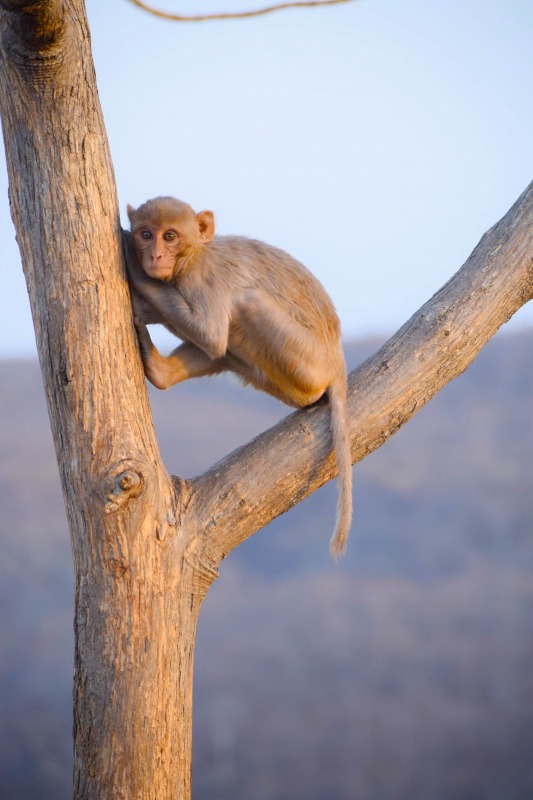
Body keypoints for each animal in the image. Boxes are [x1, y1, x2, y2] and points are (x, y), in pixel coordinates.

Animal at [122, 197, 352, 556]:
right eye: (147, 234)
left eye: (169, 236)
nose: (154, 255)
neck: (191, 257)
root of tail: (338, 360)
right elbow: (214, 342)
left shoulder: (204, 280)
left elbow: (211, 333)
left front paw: (136, 275)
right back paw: (160, 370)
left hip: (307, 364)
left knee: (244, 306)